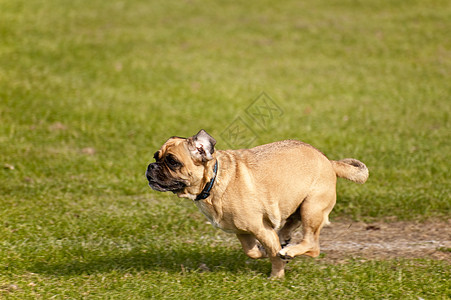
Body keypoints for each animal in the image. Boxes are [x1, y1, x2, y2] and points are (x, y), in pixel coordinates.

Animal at [147, 130, 370, 278]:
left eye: (172, 161)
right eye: (156, 157)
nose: (151, 166)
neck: (213, 180)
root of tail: (330, 163)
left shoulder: (260, 229)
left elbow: (274, 256)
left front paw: (276, 277)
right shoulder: (242, 232)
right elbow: (252, 251)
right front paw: (263, 253)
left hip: (312, 208)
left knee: (312, 245)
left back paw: (288, 251)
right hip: (298, 206)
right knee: (290, 225)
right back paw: (285, 239)